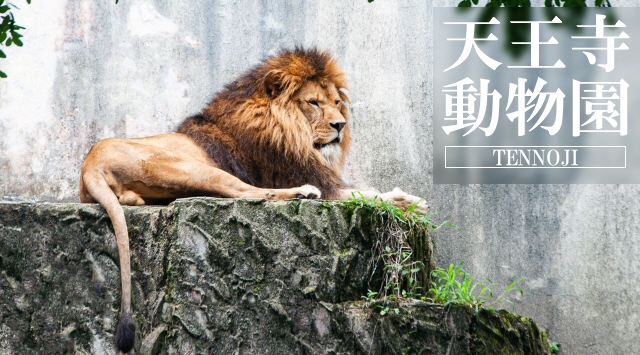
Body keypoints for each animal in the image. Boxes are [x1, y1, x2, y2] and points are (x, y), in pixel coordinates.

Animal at [80, 47, 428, 354]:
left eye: (337, 103)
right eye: (313, 103)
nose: (340, 125)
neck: (286, 129)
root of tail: (89, 167)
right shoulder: (319, 182)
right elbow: (367, 194)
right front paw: (410, 202)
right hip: (196, 168)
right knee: (246, 192)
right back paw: (302, 192)